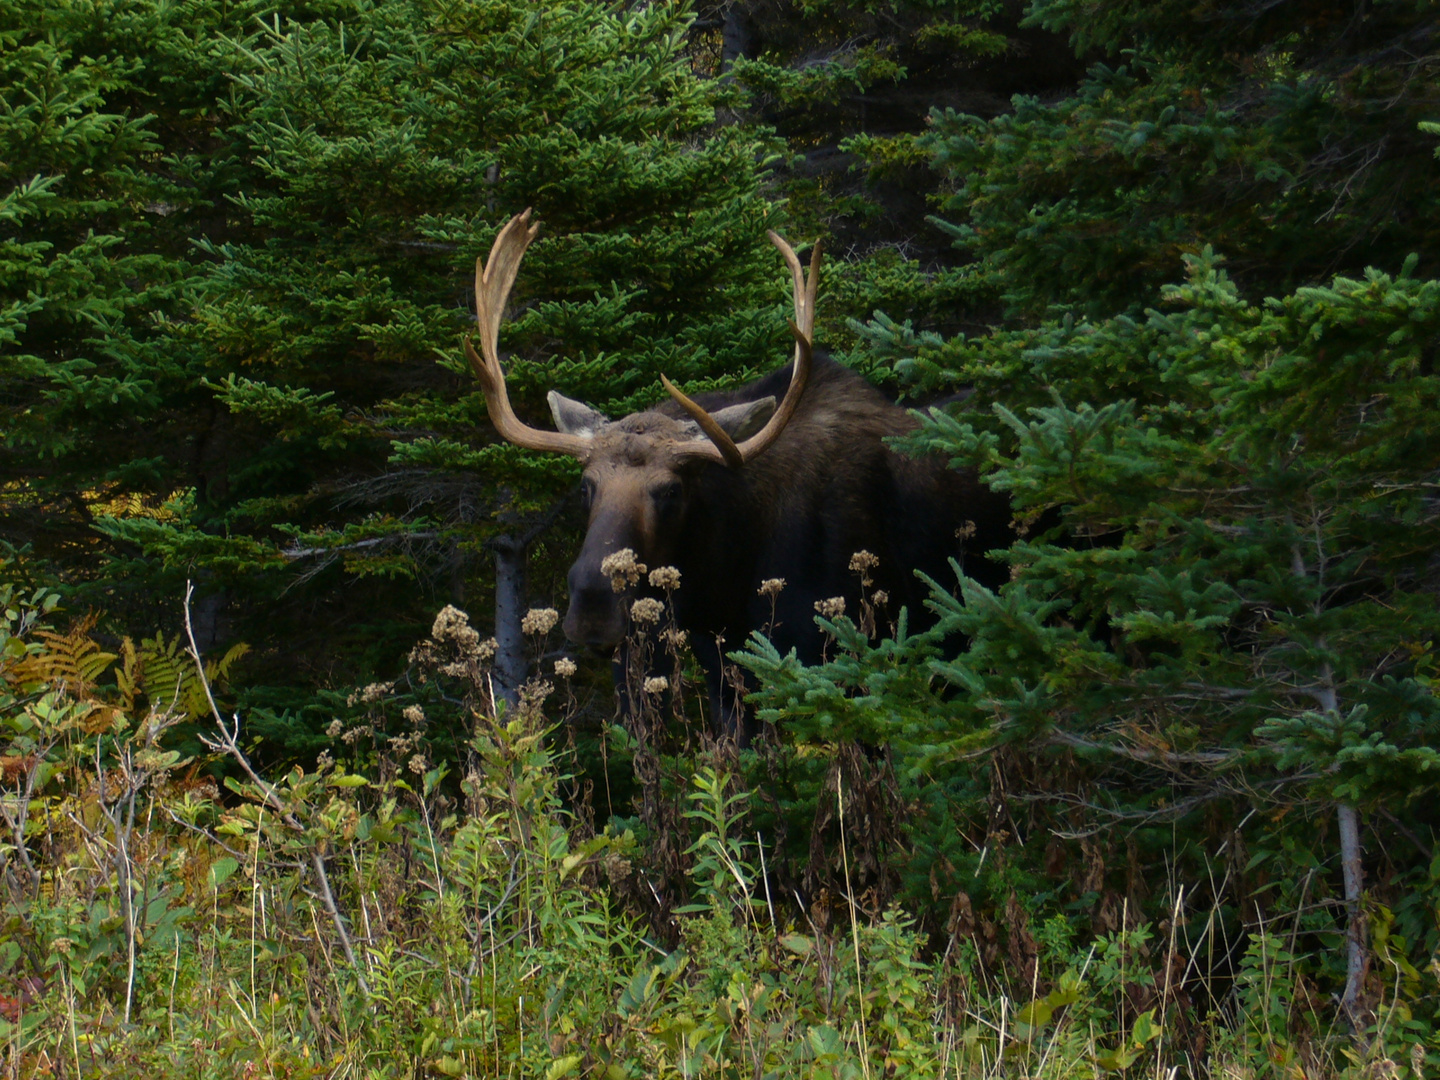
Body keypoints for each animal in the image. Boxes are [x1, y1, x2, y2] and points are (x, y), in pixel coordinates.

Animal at [466, 208, 1008, 743]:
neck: (724, 583)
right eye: (586, 486)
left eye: (671, 491)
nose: (592, 608)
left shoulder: (850, 657)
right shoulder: (727, 675)